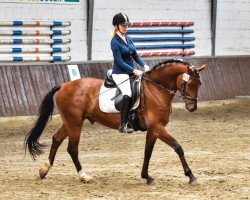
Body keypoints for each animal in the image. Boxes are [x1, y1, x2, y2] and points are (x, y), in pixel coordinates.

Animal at [24, 59, 206, 184]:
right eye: (191, 83)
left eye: (200, 84)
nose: (192, 107)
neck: (156, 88)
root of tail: (64, 85)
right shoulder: (158, 127)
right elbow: (178, 147)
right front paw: (190, 175)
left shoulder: (153, 129)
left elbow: (148, 152)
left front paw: (146, 176)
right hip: (75, 123)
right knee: (72, 148)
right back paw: (84, 176)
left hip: (70, 122)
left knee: (56, 139)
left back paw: (44, 170)